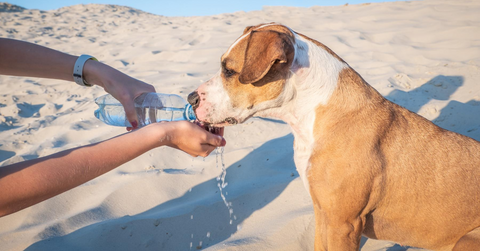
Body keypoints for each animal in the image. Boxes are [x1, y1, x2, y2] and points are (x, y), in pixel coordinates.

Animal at [187, 23, 480, 249]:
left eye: (229, 70)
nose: (191, 98)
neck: (308, 115)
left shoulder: (344, 224)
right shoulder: (322, 213)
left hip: (466, 240)